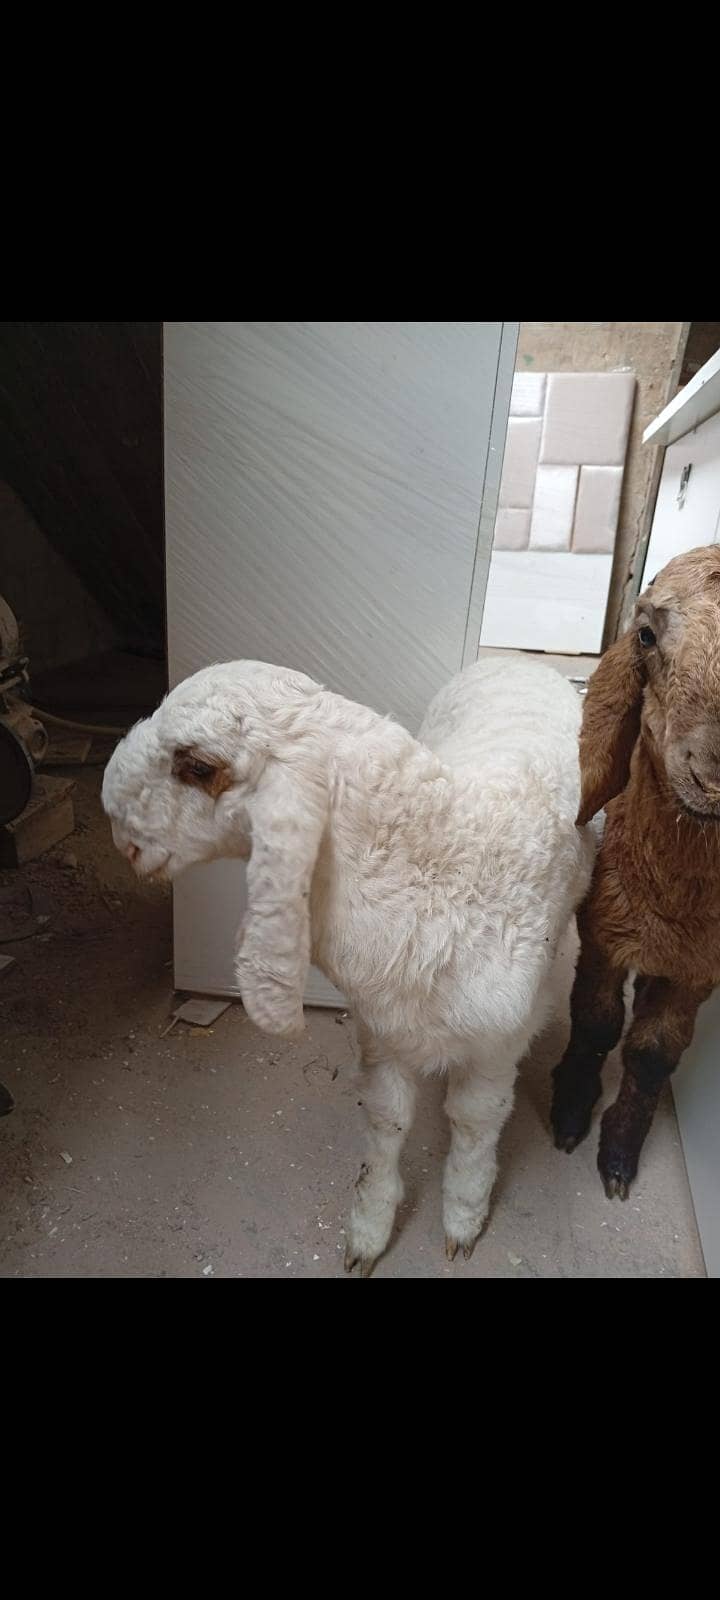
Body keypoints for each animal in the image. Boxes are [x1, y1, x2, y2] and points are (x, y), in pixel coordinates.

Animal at [102, 654, 595, 1274]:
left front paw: (463, 1213)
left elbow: (475, 1122)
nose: (118, 834)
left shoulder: (498, 1044)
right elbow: (387, 1121)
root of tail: (517, 659)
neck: (440, 868)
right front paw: (369, 1228)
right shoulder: (381, 1030)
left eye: (196, 767)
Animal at [552, 544, 720, 1201]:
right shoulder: (604, 933)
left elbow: (653, 1054)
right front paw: (571, 1111)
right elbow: (597, 1024)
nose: (712, 778)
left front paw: (620, 1152)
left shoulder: (702, 969)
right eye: (644, 635)